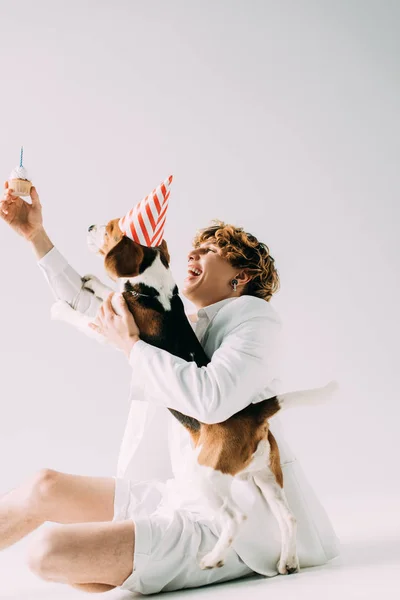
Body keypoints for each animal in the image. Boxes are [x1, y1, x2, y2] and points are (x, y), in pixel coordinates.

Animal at [50, 218, 338, 576]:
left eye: (111, 228)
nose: (89, 225)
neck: (155, 291)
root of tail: (253, 414)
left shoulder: (108, 329)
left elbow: (84, 316)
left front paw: (60, 309)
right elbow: (110, 292)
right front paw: (91, 282)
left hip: (208, 475)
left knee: (236, 517)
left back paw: (213, 558)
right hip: (268, 477)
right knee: (289, 517)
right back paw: (289, 561)